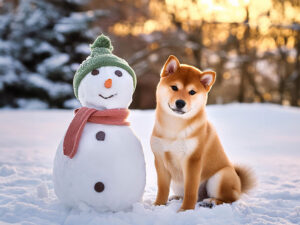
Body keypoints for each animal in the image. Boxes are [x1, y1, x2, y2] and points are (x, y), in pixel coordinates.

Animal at [151, 54, 254, 211]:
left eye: (192, 92)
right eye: (174, 87)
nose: (180, 103)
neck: (174, 127)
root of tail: (239, 186)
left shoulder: (192, 159)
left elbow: (191, 190)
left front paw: (185, 210)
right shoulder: (160, 159)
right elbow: (162, 188)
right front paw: (158, 205)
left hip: (220, 177)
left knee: (229, 199)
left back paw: (211, 201)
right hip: (177, 183)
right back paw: (177, 197)